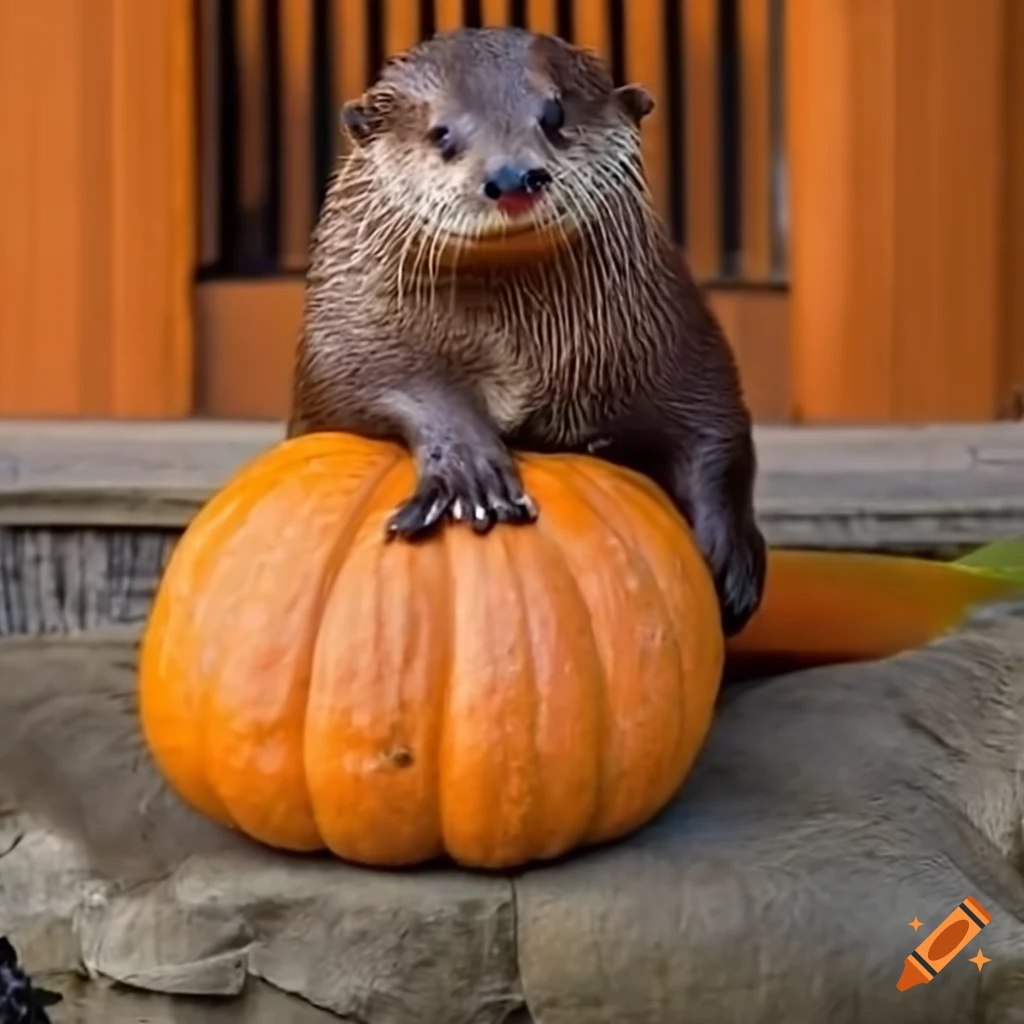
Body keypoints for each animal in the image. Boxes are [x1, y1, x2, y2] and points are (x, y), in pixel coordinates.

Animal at [303, 27, 765, 633]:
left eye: (554, 114)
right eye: (441, 132)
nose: (512, 176)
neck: (519, 355)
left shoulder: (674, 335)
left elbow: (715, 424)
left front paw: (731, 557)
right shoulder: (347, 328)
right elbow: (379, 381)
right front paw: (470, 470)